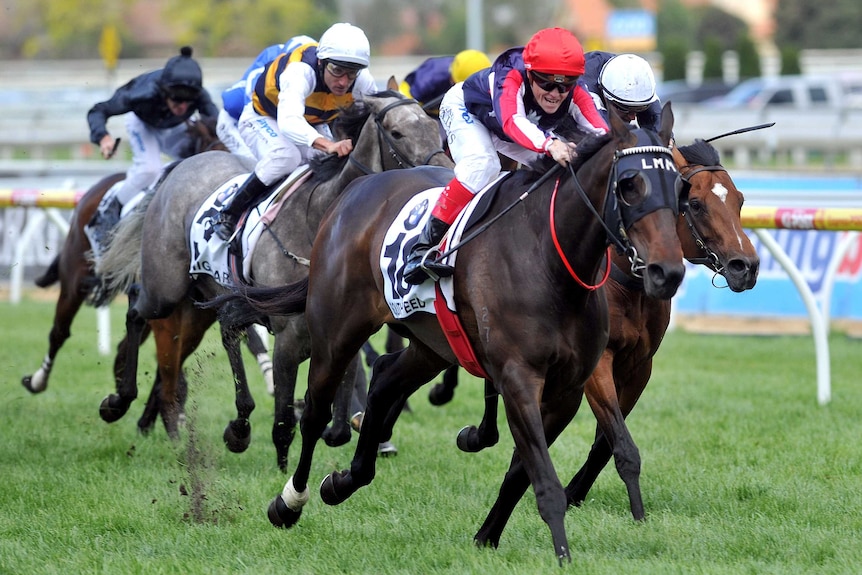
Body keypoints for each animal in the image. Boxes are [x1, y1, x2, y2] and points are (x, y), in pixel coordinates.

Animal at [98, 91, 452, 468]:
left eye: (436, 129)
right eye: (397, 133)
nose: (447, 173)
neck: (317, 220)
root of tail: (183, 166)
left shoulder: (341, 335)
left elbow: (339, 423)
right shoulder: (288, 339)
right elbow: (284, 419)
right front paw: (283, 465)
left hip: (204, 301)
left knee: (225, 331)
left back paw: (231, 423)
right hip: (165, 288)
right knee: (137, 307)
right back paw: (120, 401)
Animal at [216, 102, 688, 564]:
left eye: (679, 187)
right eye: (630, 184)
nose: (667, 272)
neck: (549, 259)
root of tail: (353, 192)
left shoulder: (567, 389)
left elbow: (521, 471)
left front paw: (486, 536)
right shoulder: (519, 379)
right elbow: (543, 479)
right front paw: (562, 555)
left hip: (433, 344)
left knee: (385, 379)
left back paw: (344, 481)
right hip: (335, 330)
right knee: (313, 412)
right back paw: (288, 502)